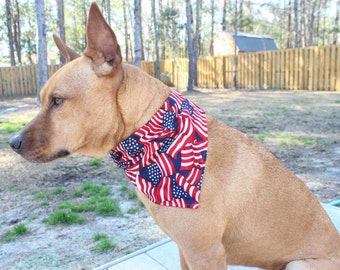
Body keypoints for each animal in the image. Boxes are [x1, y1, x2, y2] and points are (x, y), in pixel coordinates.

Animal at [8, 2, 340, 270]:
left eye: (57, 101)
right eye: (44, 100)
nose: (12, 144)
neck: (155, 136)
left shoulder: (206, 253)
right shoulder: (185, 250)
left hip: (298, 264)